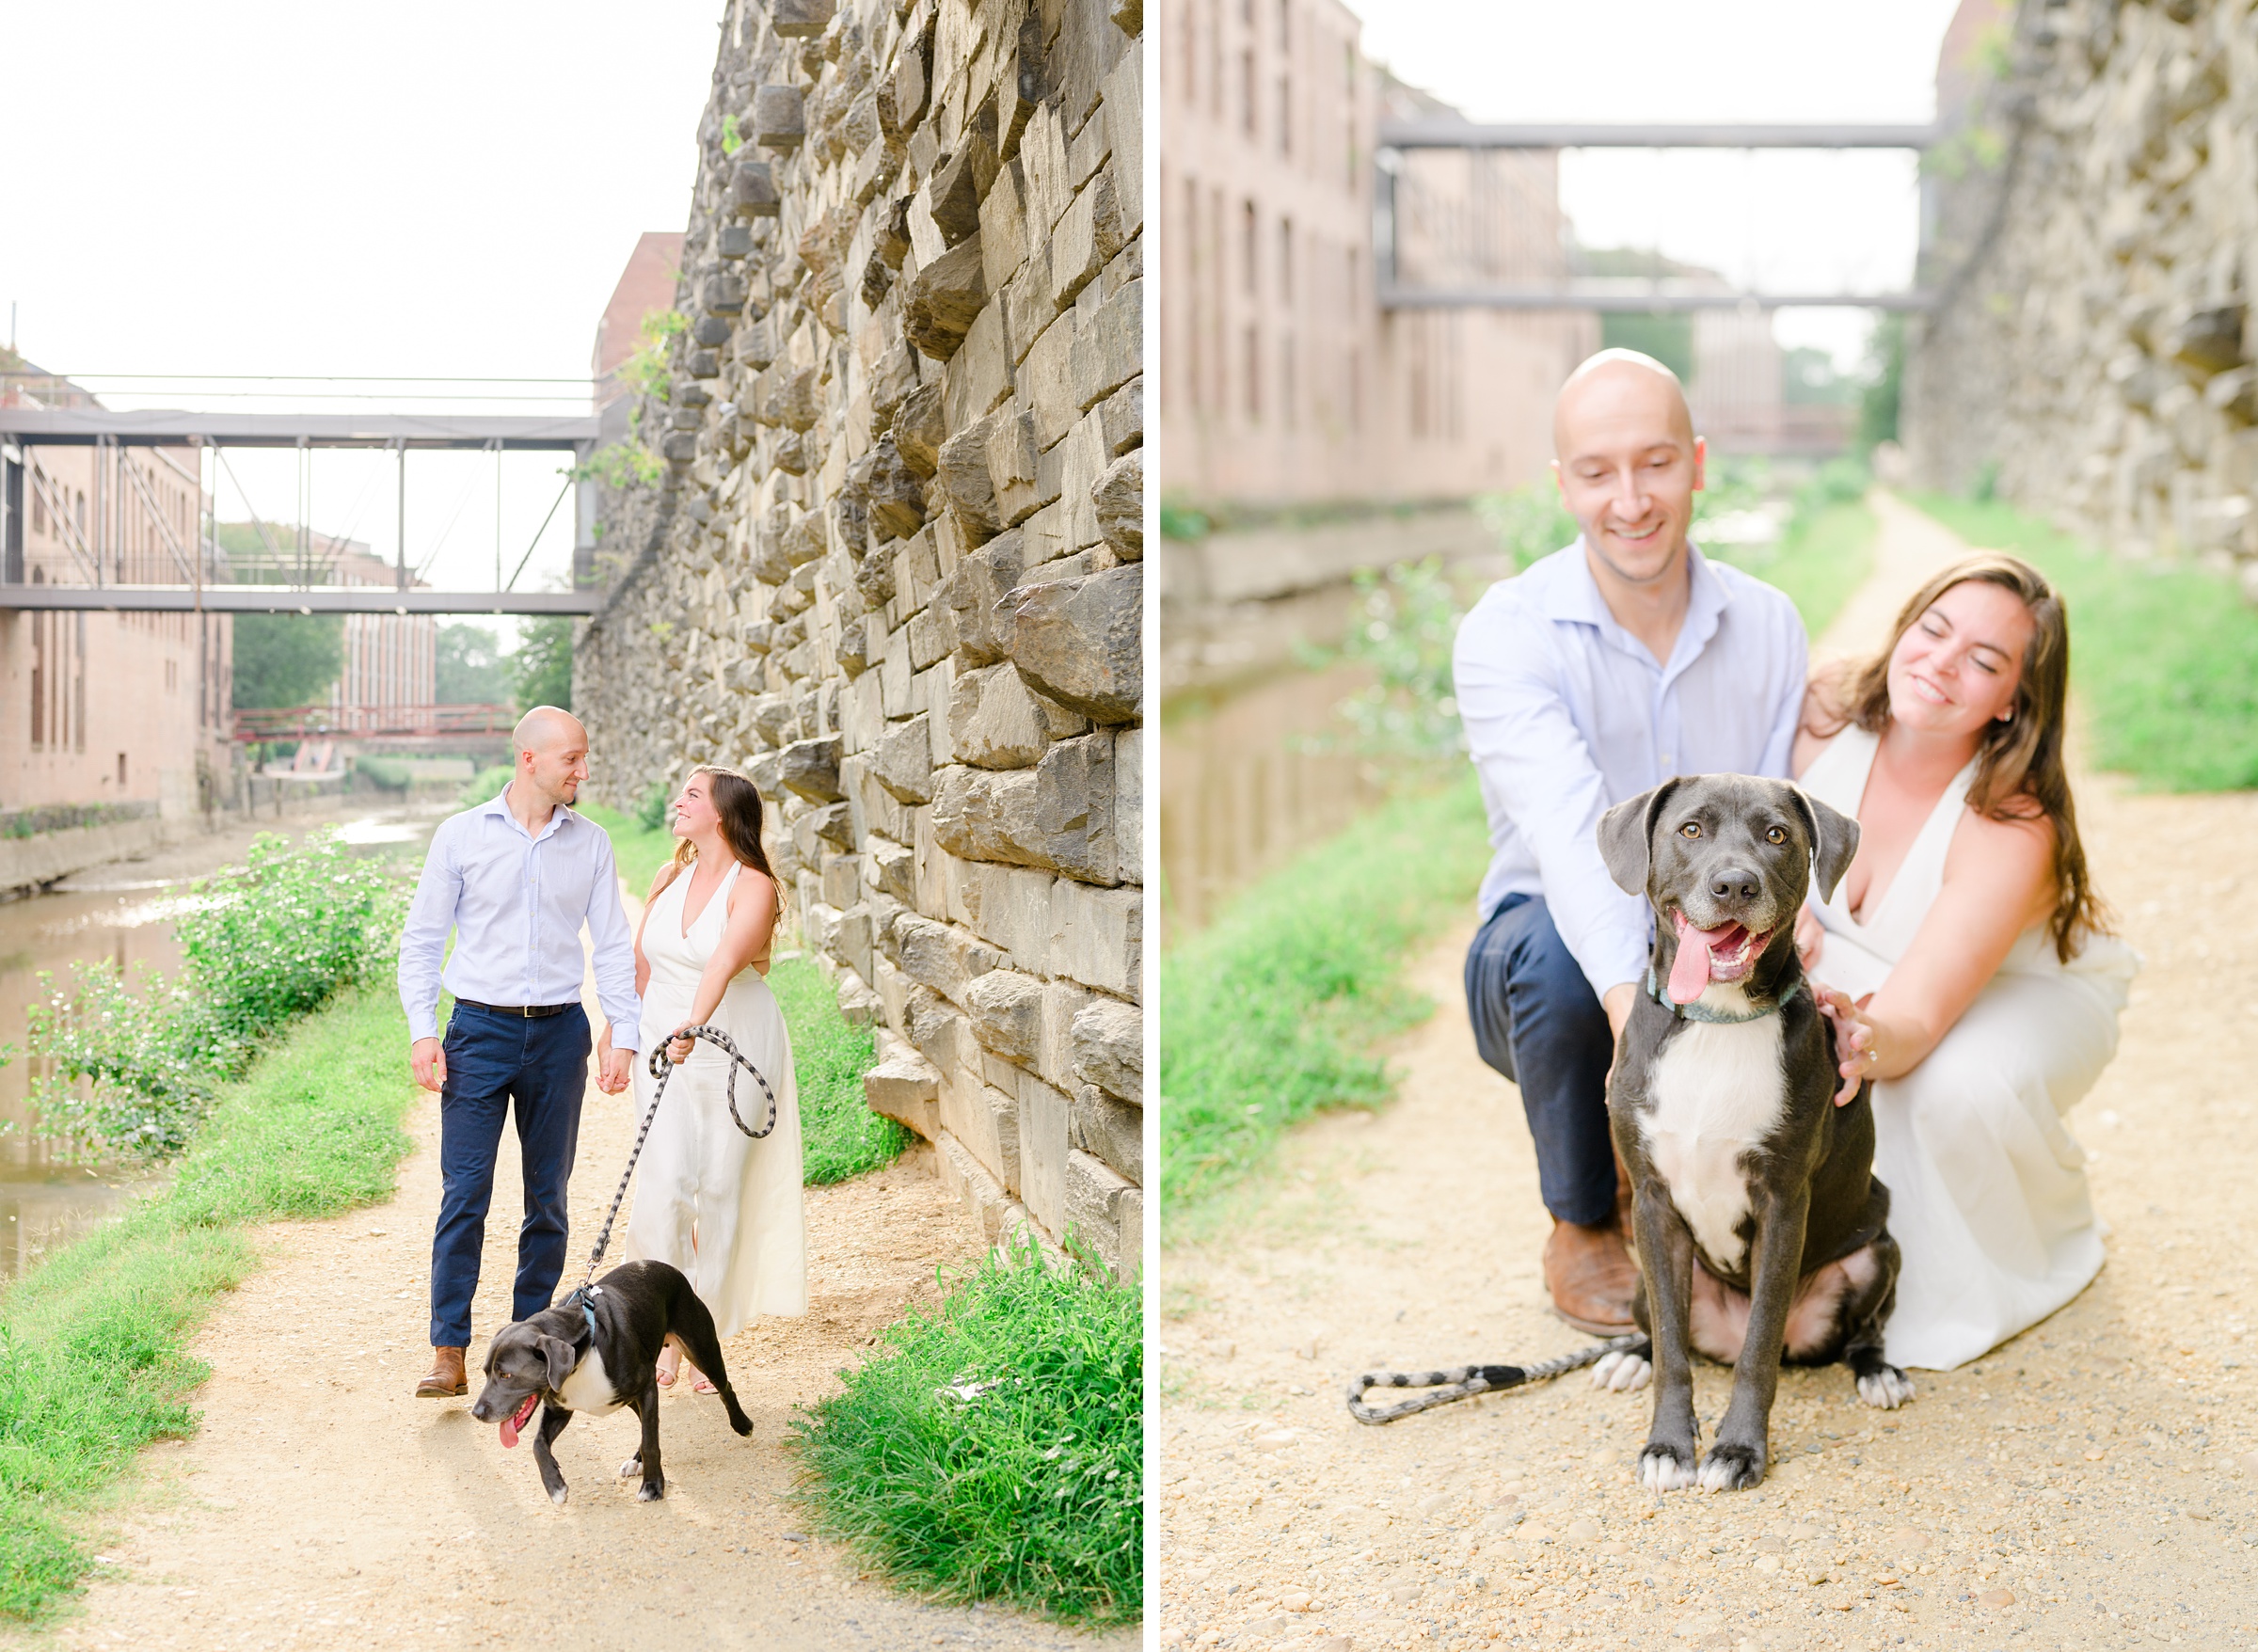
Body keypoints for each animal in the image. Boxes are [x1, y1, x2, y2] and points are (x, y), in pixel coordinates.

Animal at [467, 1254, 749, 1507]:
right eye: (486, 1372)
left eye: (506, 1375)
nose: (476, 1413)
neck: (584, 1350)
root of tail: (667, 1268)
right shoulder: (560, 1408)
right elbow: (538, 1444)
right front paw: (555, 1486)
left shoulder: (647, 1386)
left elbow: (651, 1442)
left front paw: (652, 1487)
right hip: (631, 1398)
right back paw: (635, 1461)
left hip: (701, 1351)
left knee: (724, 1387)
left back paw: (742, 1423)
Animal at [1598, 776, 1915, 1498]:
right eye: (1690, 830)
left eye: (1777, 835)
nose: (1735, 885)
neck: (1717, 1021)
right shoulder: (1652, 1202)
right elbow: (1673, 1353)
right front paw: (1668, 1445)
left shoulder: (1782, 1203)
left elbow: (1760, 1347)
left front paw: (1739, 1450)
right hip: (1644, 1272)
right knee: (1661, 1329)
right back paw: (1628, 1354)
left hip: (1878, 1252)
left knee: (1864, 1331)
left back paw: (1879, 1372)